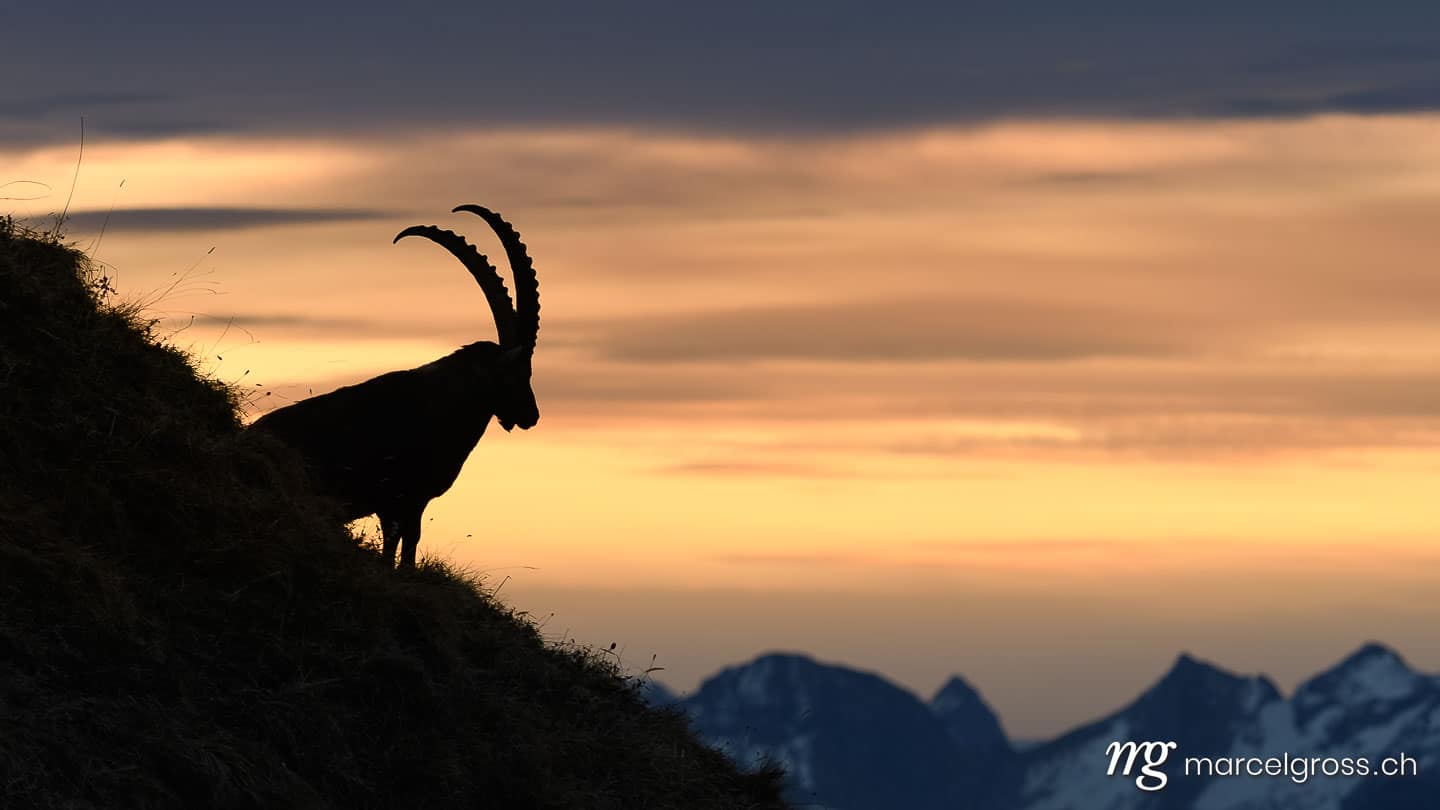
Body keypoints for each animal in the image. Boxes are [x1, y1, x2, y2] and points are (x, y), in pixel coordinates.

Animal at [249, 204, 540, 568]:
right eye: (518, 372)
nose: (531, 415)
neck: (444, 402)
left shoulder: (405, 502)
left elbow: (401, 542)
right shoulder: (400, 496)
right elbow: (402, 543)